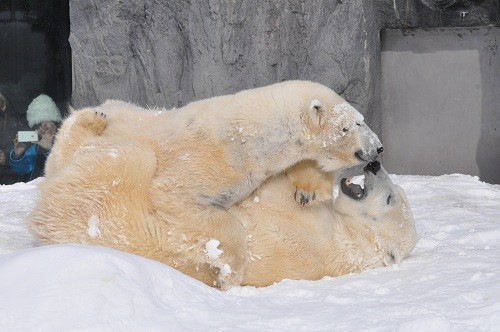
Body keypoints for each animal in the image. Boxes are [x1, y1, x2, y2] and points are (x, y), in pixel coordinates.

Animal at [30, 80, 382, 288]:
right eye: (354, 124)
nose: (377, 149)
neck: (251, 135)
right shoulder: (214, 157)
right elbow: (178, 197)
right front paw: (231, 272)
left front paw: (308, 191)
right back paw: (94, 119)